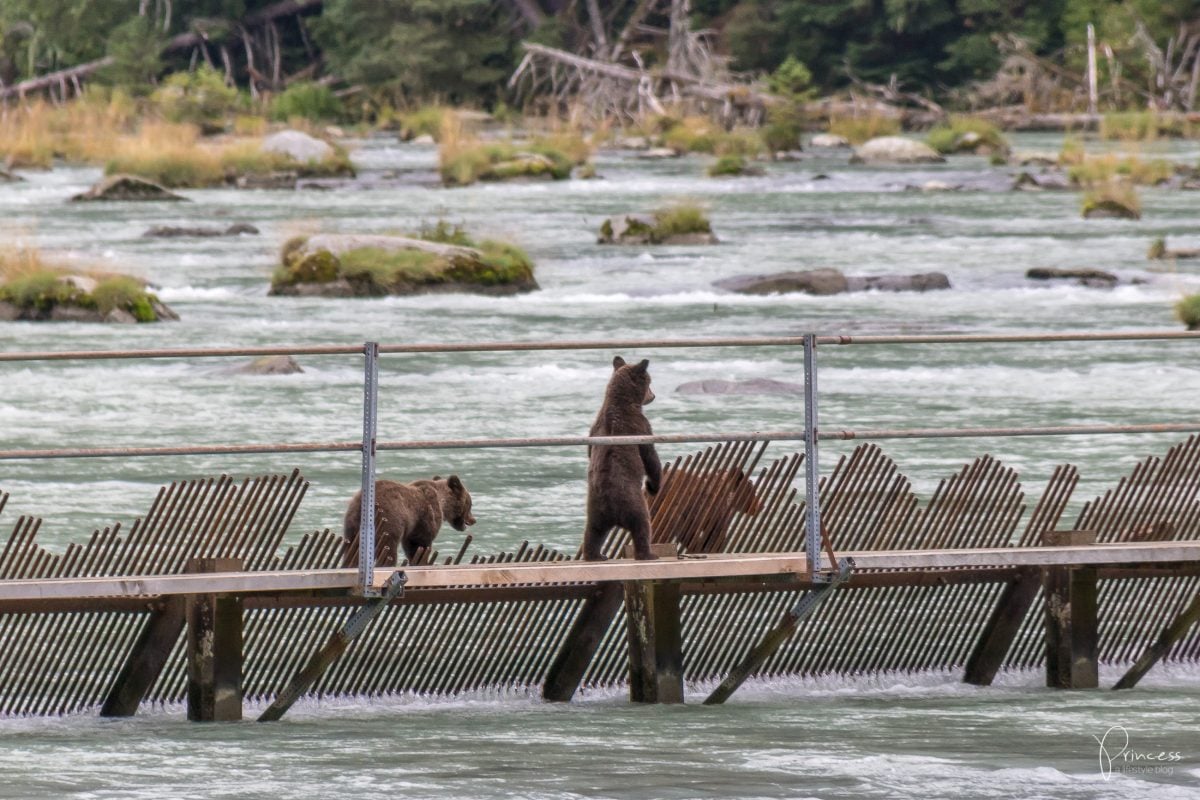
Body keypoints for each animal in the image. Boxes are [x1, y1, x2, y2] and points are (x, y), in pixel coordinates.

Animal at [340, 474, 475, 568]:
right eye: (470, 504)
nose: (473, 520)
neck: (443, 503)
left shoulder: (413, 527)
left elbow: (412, 545)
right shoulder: (425, 516)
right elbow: (420, 543)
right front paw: (423, 561)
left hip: (352, 522)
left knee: (352, 548)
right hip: (389, 519)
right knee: (388, 547)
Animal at [583, 357, 667, 563]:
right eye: (649, 382)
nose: (653, 396)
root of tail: (612, 513)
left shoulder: (594, 428)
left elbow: (589, 449)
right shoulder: (638, 425)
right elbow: (650, 456)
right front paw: (654, 485)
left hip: (595, 512)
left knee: (593, 533)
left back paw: (595, 555)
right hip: (634, 503)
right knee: (643, 526)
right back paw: (648, 554)